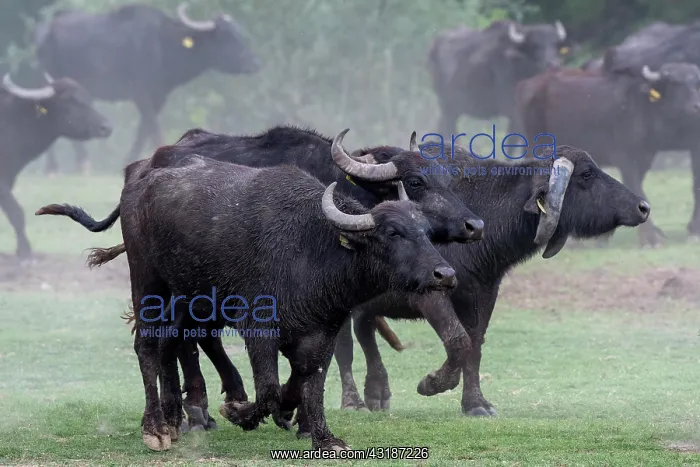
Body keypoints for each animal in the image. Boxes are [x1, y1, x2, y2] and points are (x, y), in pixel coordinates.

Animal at [36, 2, 259, 174]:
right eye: (226, 36)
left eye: (239, 33)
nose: (253, 63)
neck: (164, 44)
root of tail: (45, 35)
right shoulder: (142, 94)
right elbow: (153, 128)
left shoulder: (158, 96)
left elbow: (143, 129)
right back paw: (70, 166)